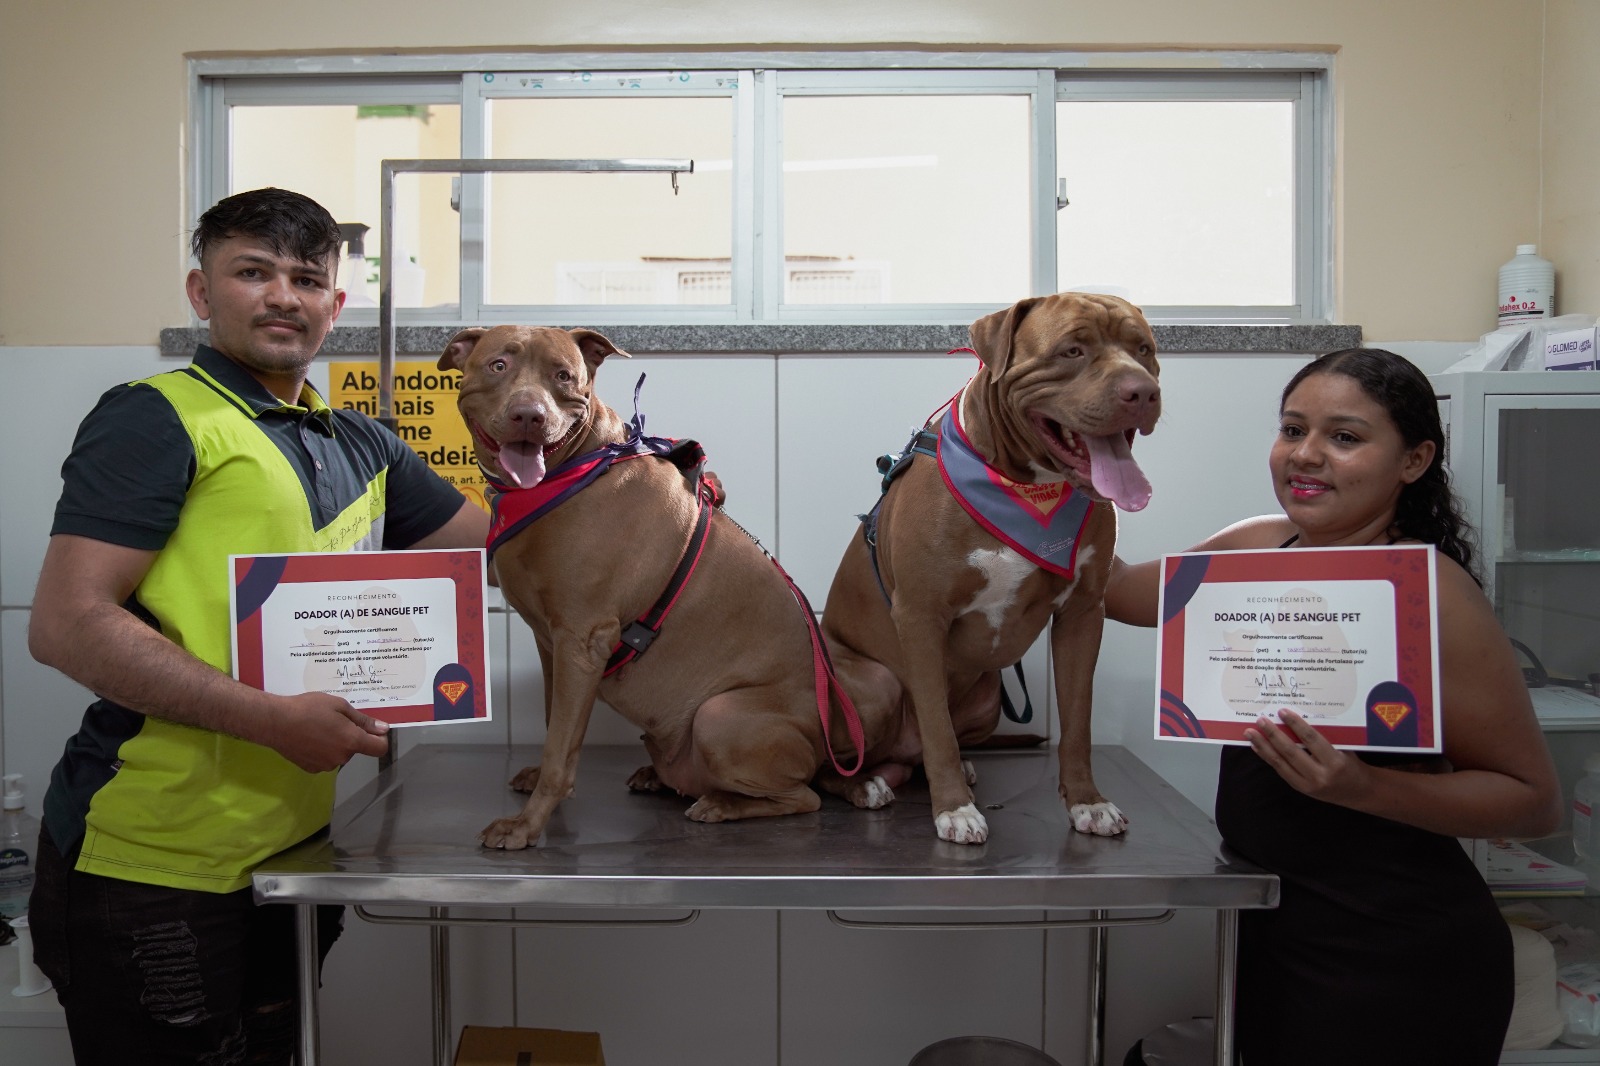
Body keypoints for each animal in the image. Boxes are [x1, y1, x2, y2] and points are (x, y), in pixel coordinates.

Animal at [438, 323, 864, 845]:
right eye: (499, 364)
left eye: (563, 376)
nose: (529, 416)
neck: (574, 470)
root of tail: (829, 739)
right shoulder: (551, 645)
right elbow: (554, 724)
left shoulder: (582, 641)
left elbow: (561, 747)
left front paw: (528, 824)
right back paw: (659, 778)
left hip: (720, 718)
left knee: (803, 797)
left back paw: (720, 804)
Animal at [819, 288, 1158, 838]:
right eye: (1072, 351)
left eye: (1144, 349)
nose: (1143, 391)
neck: (1024, 485)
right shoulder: (920, 617)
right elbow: (937, 727)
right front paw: (954, 808)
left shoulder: (1084, 613)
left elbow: (1078, 720)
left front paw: (1088, 801)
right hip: (875, 685)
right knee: (832, 763)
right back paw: (866, 784)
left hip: (987, 694)